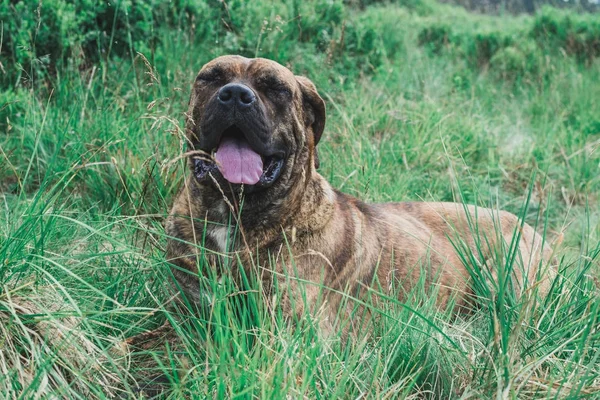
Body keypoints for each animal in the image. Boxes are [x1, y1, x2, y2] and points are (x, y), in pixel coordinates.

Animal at [166, 54, 556, 332]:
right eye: (211, 78)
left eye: (276, 88)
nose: (235, 95)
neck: (232, 215)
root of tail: (535, 233)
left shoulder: (287, 329)